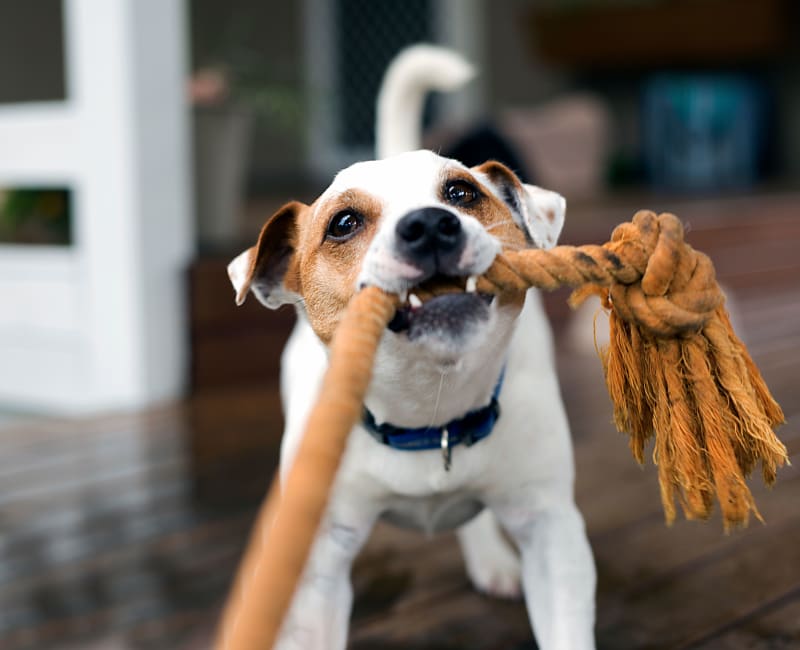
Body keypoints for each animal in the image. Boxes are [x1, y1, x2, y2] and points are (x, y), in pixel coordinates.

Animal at [225, 44, 592, 644]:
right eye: (344, 223)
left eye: (462, 192)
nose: (430, 225)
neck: (429, 412)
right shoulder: (321, 566)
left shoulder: (552, 532)